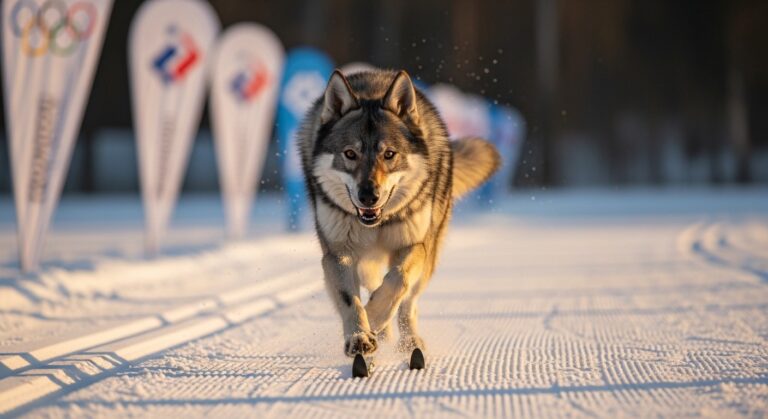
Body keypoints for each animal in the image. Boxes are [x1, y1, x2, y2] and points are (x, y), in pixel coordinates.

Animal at [298, 69, 500, 357]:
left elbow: (398, 280)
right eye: (350, 154)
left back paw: (410, 342)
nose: (368, 196)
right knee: (375, 284)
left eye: (389, 154)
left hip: (429, 258)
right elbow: (351, 300)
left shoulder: (415, 245)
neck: (378, 223)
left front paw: (374, 318)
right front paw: (360, 336)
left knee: (408, 303)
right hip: (367, 261)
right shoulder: (338, 253)